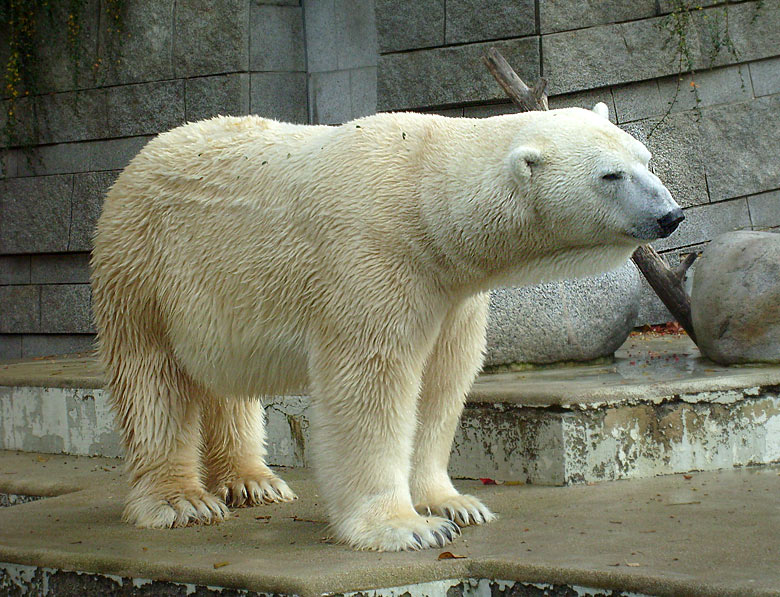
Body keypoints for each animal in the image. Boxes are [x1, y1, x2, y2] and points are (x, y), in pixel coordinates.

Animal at [88, 102, 680, 548]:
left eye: (647, 159)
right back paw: (182, 501)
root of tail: (137, 160)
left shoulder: (451, 290)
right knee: (152, 381)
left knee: (226, 381)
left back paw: (255, 483)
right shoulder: (373, 257)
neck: (426, 196)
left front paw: (455, 505)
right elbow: (373, 382)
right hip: (145, 268)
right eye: (610, 174)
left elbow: (442, 381)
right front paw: (406, 528)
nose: (671, 215)